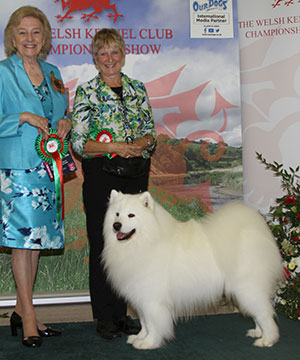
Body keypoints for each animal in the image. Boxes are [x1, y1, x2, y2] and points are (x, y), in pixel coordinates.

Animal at [102, 190, 282, 350]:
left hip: (247, 289)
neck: (145, 242)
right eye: (117, 214)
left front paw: (149, 343)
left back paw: (267, 339)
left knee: (265, 314)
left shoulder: (152, 300)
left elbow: (153, 324)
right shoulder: (140, 297)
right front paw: (139, 337)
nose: (116, 225)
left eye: (131, 215)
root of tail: (252, 229)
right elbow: (144, 322)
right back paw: (258, 332)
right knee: (259, 313)